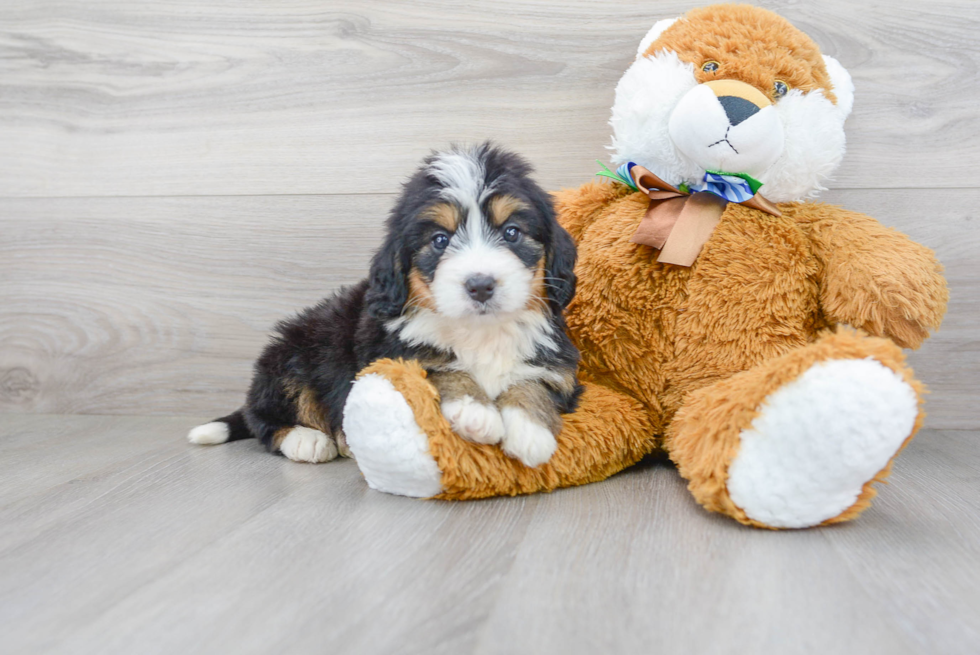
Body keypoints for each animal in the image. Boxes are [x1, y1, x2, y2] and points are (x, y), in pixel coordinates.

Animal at [189, 145, 580, 472]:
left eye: (512, 232)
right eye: (440, 240)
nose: (480, 285)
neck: (480, 330)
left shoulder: (560, 366)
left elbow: (534, 383)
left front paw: (531, 433)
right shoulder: (389, 353)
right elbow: (441, 367)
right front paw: (476, 411)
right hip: (293, 353)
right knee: (265, 417)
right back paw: (308, 439)